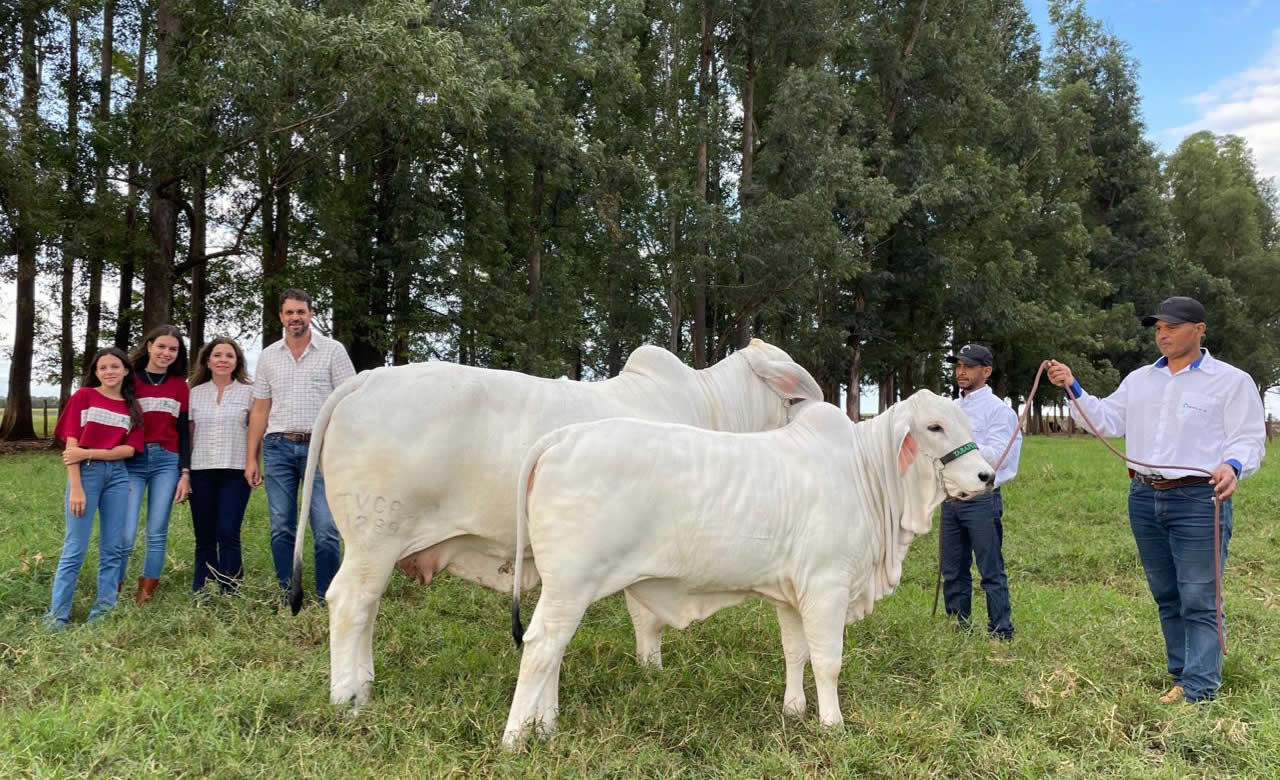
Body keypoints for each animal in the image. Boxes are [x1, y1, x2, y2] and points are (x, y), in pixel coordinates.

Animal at [291, 338, 819, 706]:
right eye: (794, 397)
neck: (712, 408)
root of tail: (364, 380)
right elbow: (648, 617)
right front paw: (653, 671)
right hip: (375, 535)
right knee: (350, 602)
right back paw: (350, 696)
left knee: (368, 607)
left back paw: (364, 680)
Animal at [499, 389, 988, 742]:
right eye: (935, 426)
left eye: (968, 422)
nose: (986, 476)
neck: (866, 473)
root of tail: (563, 437)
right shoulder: (826, 587)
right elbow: (828, 660)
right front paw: (832, 724)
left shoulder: (793, 594)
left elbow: (796, 652)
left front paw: (794, 710)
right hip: (571, 584)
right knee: (541, 645)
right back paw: (515, 738)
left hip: (566, 590)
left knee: (554, 649)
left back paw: (547, 725)